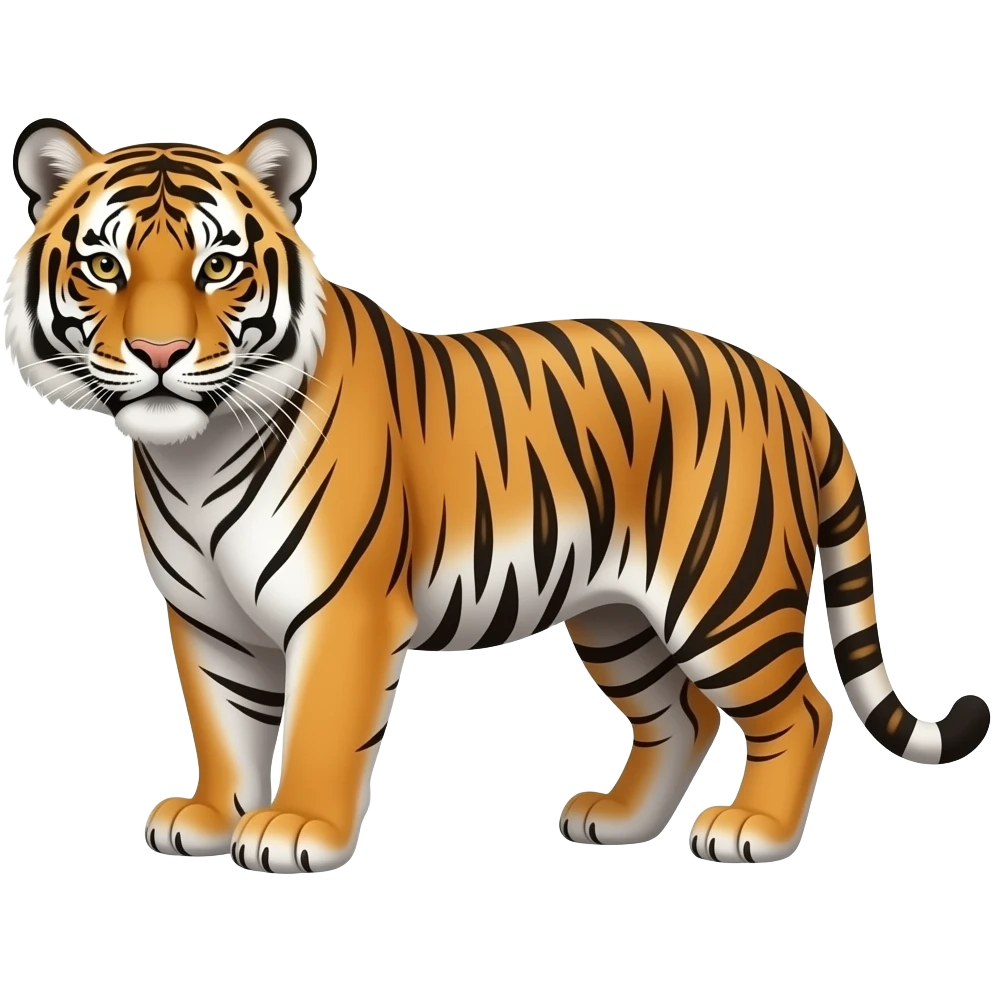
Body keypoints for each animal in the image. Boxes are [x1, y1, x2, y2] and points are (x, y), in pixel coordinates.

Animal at [4, 116, 989, 874]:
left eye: (217, 267)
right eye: (104, 267)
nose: (159, 354)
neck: (195, 454)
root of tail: (787, 385)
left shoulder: (344, 609)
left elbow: (320, 723)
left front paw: (296, 829)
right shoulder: (206, 618)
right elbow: (223, 723)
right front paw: (211, 818)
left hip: (725, 595)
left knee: (800, 708)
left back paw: (754, 831)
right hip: (615, 615)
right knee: (682, 714)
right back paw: (617, 821)